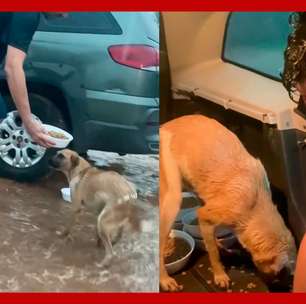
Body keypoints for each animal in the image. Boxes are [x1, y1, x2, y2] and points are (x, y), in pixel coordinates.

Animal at [160, 115, 296, 290]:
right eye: (282, 272)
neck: (254, 204)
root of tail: (165, 125)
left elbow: (212, 243)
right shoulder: (206, 215)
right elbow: (214, 255)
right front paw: (220, 275)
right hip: (173, 200)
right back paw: (164, 279)